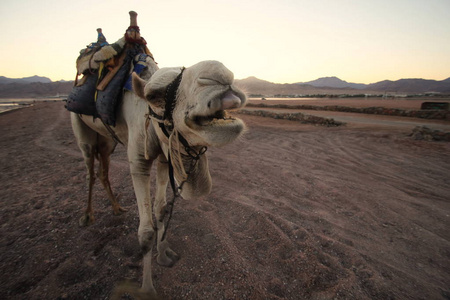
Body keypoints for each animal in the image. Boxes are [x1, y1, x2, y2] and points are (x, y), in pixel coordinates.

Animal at [70, 56, 246, 298]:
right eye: (153, 96)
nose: (220, 75)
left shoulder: (165, 156)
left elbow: (161, 210)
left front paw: (164, 254)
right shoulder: (138, 161)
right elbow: (145, 232)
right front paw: (147, 289)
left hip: (107, 141)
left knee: (103, 170)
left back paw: (117, 208)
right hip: (80, 129)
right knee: (89, 169)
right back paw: (87, 216)